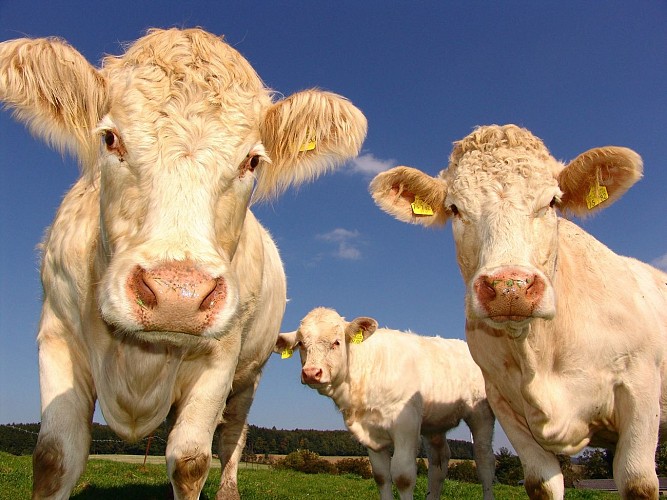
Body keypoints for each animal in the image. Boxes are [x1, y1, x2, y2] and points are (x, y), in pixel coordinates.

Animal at [0, 28, 366, 499]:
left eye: (252, 160)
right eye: (110, 138)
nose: (178, 295)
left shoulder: (221, 358)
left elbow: (191, 460)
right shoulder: (57, 334)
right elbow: (55, 455)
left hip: (249, 376)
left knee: (231, 437)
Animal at [275, 307, 496, 500]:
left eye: (337, 342)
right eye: (301, 343)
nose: (311, 373)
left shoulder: (406, 425)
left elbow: (403, 477)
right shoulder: (370, 433)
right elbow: (381, 477)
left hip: (481, 413)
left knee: (484, 460)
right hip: (434, 423)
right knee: (439, 462)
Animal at [369, 124, 667, 499]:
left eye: (552, 201)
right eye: (455, 208)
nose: (509, 287)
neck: (540, 352)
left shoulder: (640, 388)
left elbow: (637, 481)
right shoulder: (505, 404)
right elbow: (541, 484)